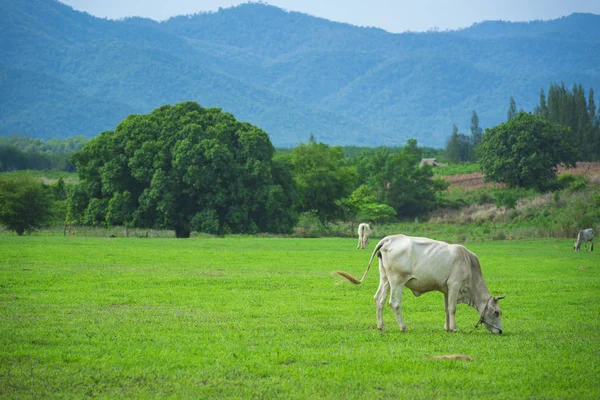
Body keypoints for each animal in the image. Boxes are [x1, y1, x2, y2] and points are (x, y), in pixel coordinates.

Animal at [336, 234, 504, 334]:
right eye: (497, 312)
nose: (500, 331)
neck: (469, 263)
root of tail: (389, 239)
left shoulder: (446, 289)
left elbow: (446, 309)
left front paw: (447, 327)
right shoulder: (455, 285)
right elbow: (452, 308)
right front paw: (454, 328)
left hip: (385, 279)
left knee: (379, 300)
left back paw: (381, 326)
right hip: (397, 281)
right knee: (394, 303)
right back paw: (403, 327)